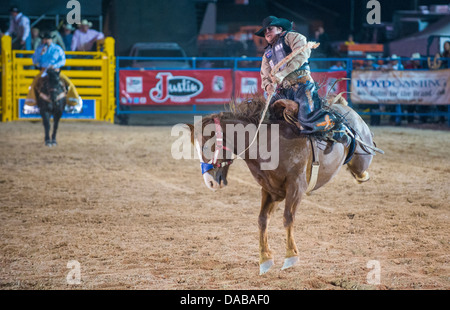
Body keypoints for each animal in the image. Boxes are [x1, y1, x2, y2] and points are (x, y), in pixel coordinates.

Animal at [186, 95, 380, 274]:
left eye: (207, 147)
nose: (210, 182)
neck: (268, 144)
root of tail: (343, 106)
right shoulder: (270, 190)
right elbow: (262, 220)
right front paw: (265, 259)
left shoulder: (296, 187)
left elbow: (288, 218)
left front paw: (291, 256)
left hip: (361, 160)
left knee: (362, 166)